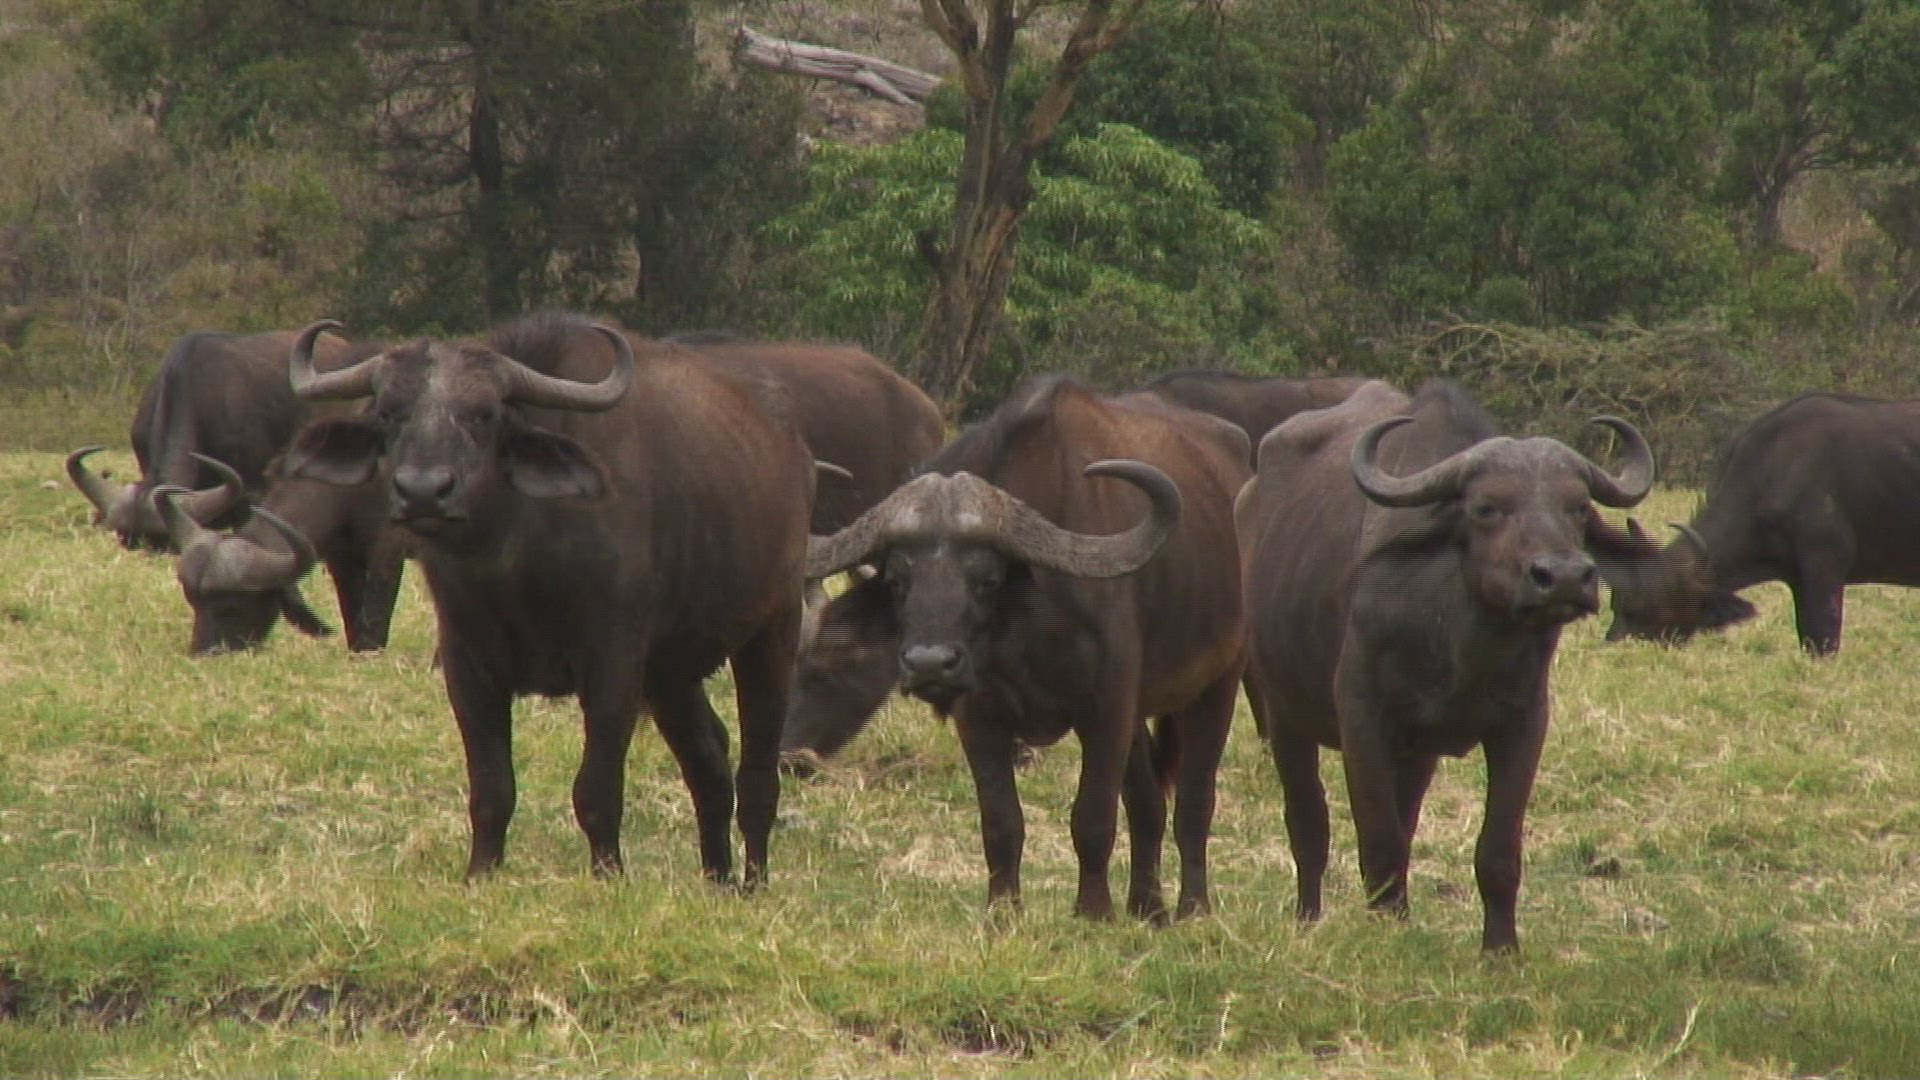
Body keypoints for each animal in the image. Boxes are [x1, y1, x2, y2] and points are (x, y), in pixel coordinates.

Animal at [279, 312, 816, 884]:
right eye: (387, 412)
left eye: (485, 414)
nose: (423, 492)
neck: (517, 565)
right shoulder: (467, 667)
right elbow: (492, 789)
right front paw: (480, 873)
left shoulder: (613, 665)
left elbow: (597, 789)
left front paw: (608, 874)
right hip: (671, 672)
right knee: (708, 758)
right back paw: (717, 877)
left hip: (773, 627)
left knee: (757, 773)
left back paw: (752, 881)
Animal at [797, 375, 1249, 921]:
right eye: (898, 579)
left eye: (986, 579)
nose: (930, 664)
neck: (1027, 629)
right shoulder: (980, 717)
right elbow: (1001, 820)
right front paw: (1003, 912)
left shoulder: (1106, 707)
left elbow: (1093, 815)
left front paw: (1093, 911)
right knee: (1148, 803)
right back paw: (1147, 908)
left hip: (1218, 682)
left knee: (1194, 802)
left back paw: (1193, 908)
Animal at [1237, 380, 1654, 951]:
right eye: (1486, 507)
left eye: (1577, 506)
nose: (1565, 577)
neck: (1462, 649)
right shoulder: (1362, 719)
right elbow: (1379, 839)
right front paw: (1388, 931)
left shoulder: (1523, 723)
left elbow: (1495, 850)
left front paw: (1500, 946)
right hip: (1283, 714)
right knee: (1308, 823)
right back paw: (1309, 916)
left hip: (1415, 754)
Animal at [1603, 392, 1920, 656]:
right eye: (1616, 603)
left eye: (1645, 607)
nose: (1613, 643)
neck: (1773, 473)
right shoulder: (1798, 581)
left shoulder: (1825, 572)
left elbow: (1823, 641)